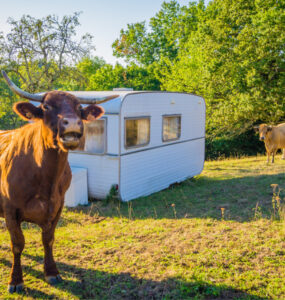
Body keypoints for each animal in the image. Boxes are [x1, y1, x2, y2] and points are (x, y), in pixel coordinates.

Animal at [0, 72, 117, 292]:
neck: (46, 177)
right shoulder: (10, 209)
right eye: (46, 107)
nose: (72, 123)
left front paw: (52, 272)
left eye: (79, 108)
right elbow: (17, 243)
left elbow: (48, 239)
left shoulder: (57, 207)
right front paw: (16, 280)